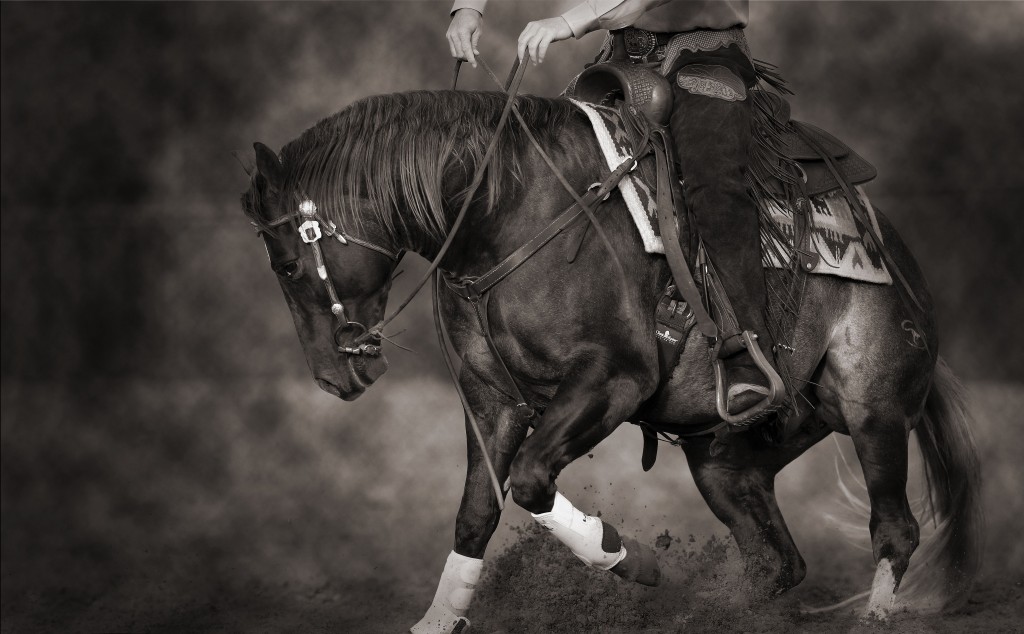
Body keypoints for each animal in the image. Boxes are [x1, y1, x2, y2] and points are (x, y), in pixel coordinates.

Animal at [240, 89, 981, 633]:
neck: (507, 217)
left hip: (874, 411)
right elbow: (478, 510)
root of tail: (904, 270)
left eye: (287, 264)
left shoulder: (613, 383)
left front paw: (624, 556)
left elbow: (530, 480)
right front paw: (438, 619)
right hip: (727, 461)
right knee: (777, 562)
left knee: (895, 530)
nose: (335, 376)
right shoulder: (491, 402)